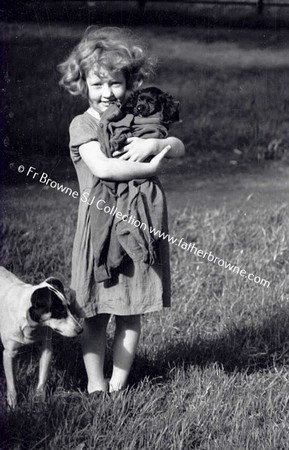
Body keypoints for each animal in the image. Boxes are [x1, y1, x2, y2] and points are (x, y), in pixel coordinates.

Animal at [0, 268, 82, 408]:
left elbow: (43, 376)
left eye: (68, 308)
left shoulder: (46, 348)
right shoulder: (9, 353)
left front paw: (39, 400)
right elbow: (12, 383)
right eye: (59, 311)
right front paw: (13, 405)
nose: (81, 330)